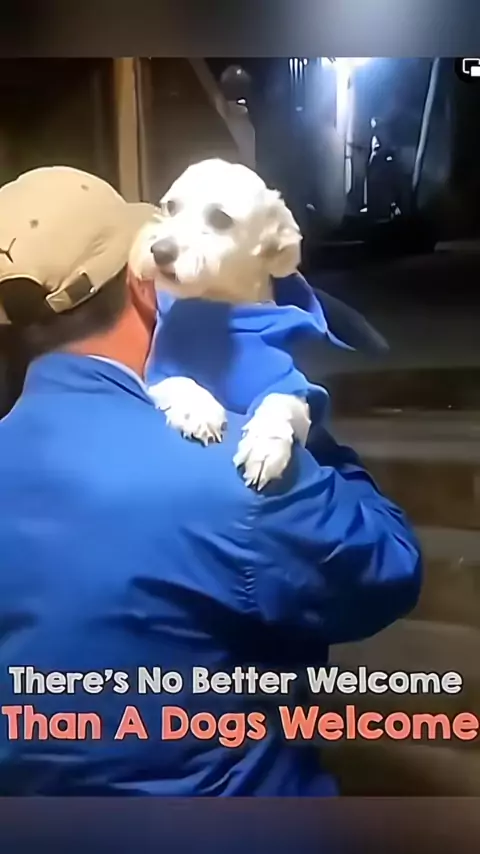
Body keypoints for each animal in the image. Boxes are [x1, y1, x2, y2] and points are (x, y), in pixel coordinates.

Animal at [129, 159, 333, 489]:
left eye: (219, 218)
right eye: (171, 206)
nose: (159, 251)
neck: (222, 308)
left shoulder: (297, 397)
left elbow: (280, 399)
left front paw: (265, 446)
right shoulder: (158, 376)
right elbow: (182, 382)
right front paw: (198, 410)